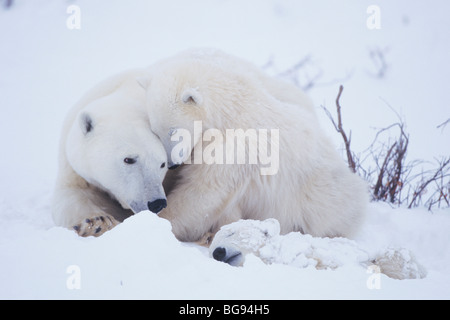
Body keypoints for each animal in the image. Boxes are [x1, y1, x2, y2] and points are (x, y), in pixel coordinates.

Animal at [51, 69, 171, 236]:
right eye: (129, 159)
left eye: (162, 164)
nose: (157, 203)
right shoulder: (73, 164)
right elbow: (71, 193)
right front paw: (97, 223)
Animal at [141, 48, 370, 242]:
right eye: (156, 131)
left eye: (173, 131)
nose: (172, 164)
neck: (231, 111)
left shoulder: (233, 149)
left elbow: (203, 193)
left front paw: (161, 221)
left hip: (318, 197)